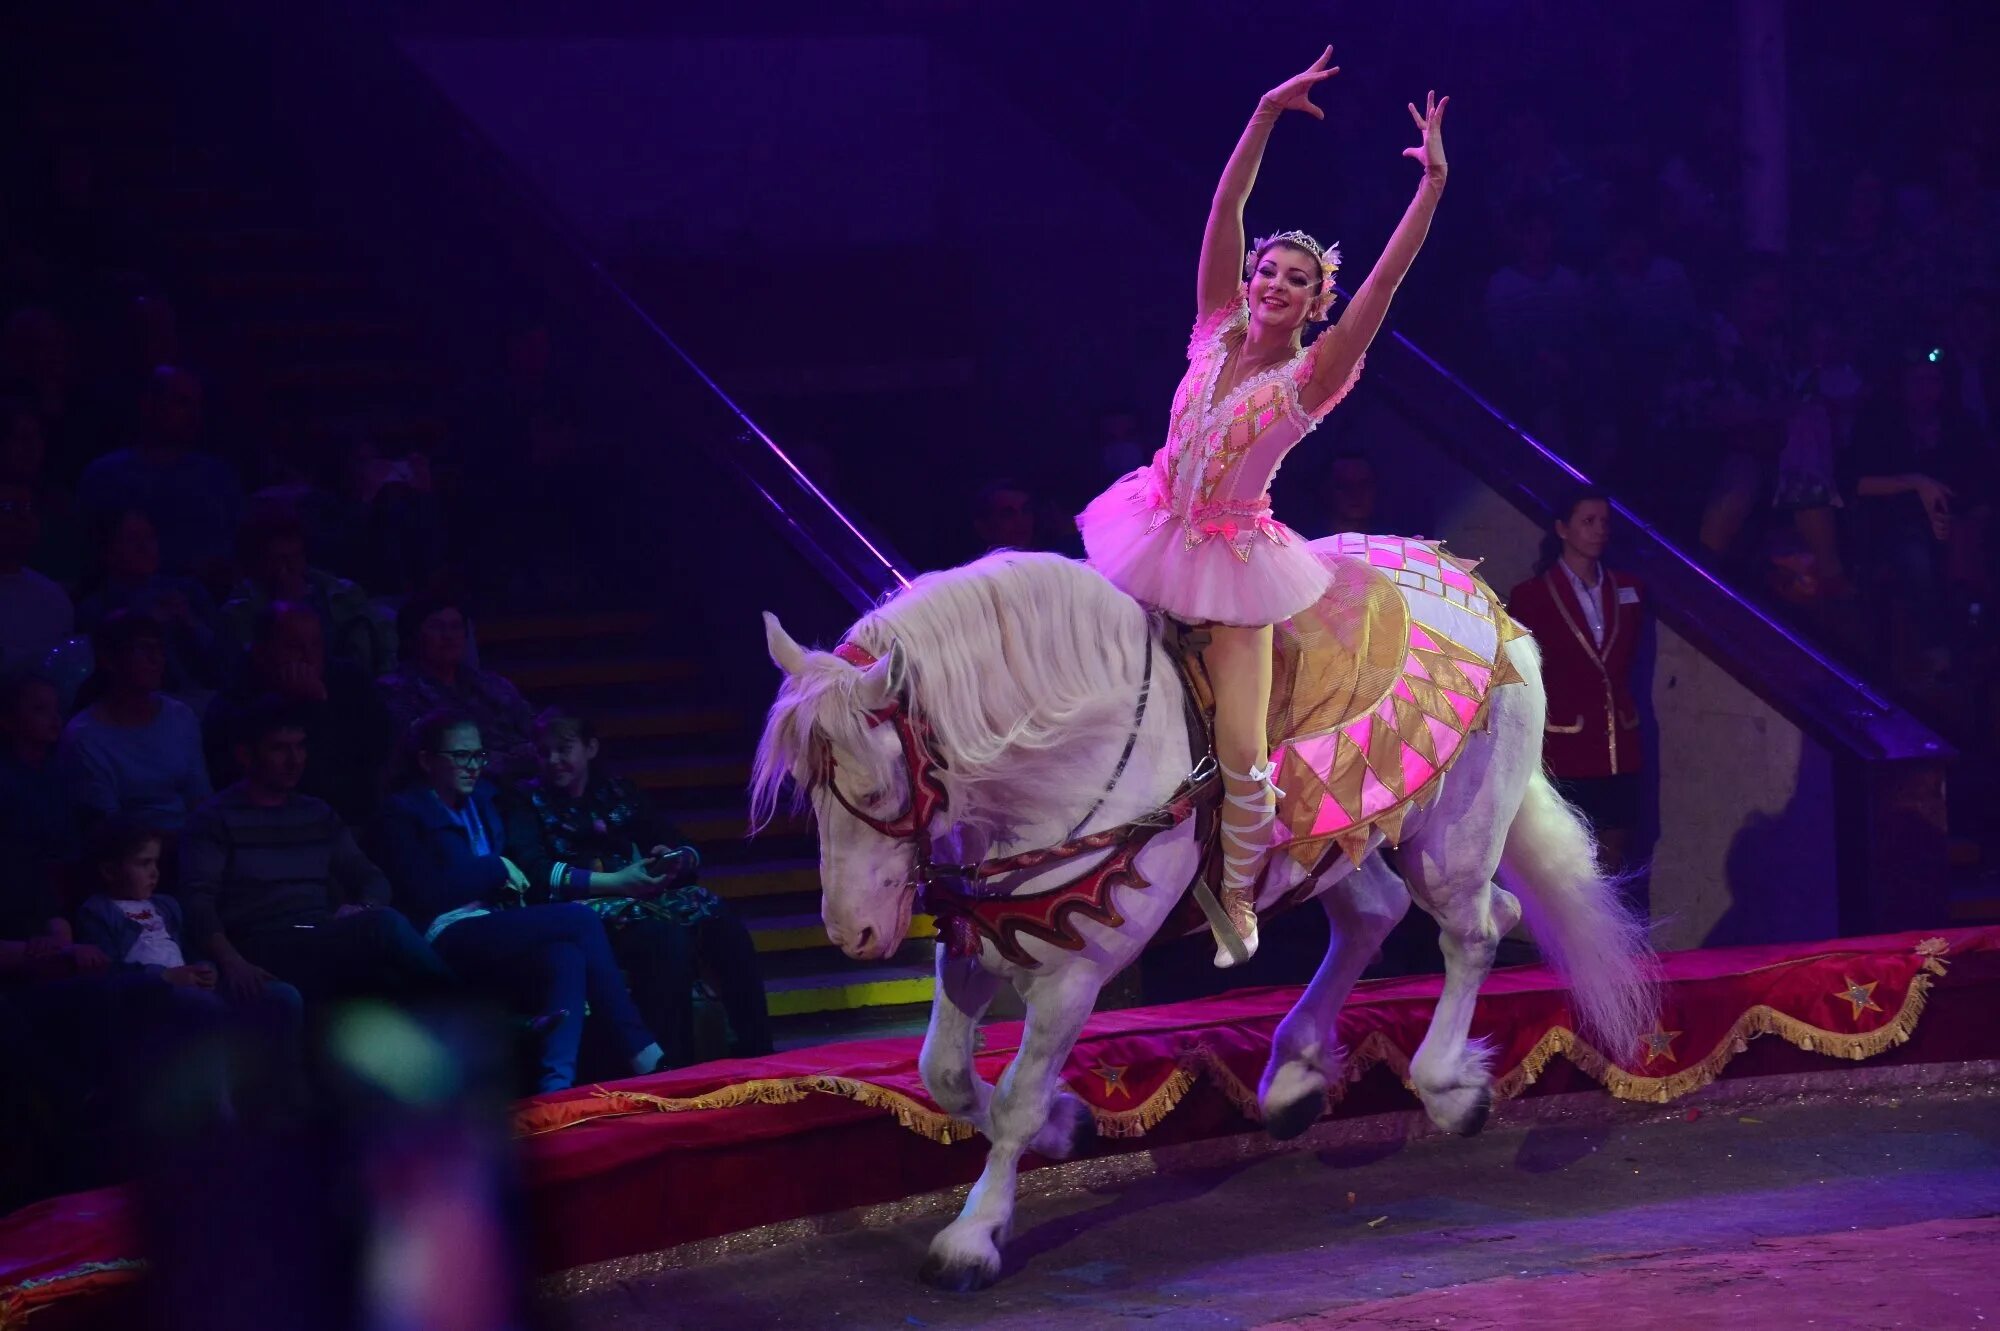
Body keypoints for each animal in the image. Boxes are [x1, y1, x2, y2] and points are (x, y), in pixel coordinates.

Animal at [752, 547, 1656, 1287]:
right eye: (804, 787)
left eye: (875, 789)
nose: (854, 932)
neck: (1061, 754)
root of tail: (1486, 602)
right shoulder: (977, 939)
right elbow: (942, 1072)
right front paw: (1064, 1126)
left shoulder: (1077, 971)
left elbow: (1012, 1096)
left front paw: (974, 1235)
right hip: (1328, 834)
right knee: (1377, 913)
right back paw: (1293, 1075)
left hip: (1451, 833)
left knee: (1475, 926)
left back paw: (1448, 1087)